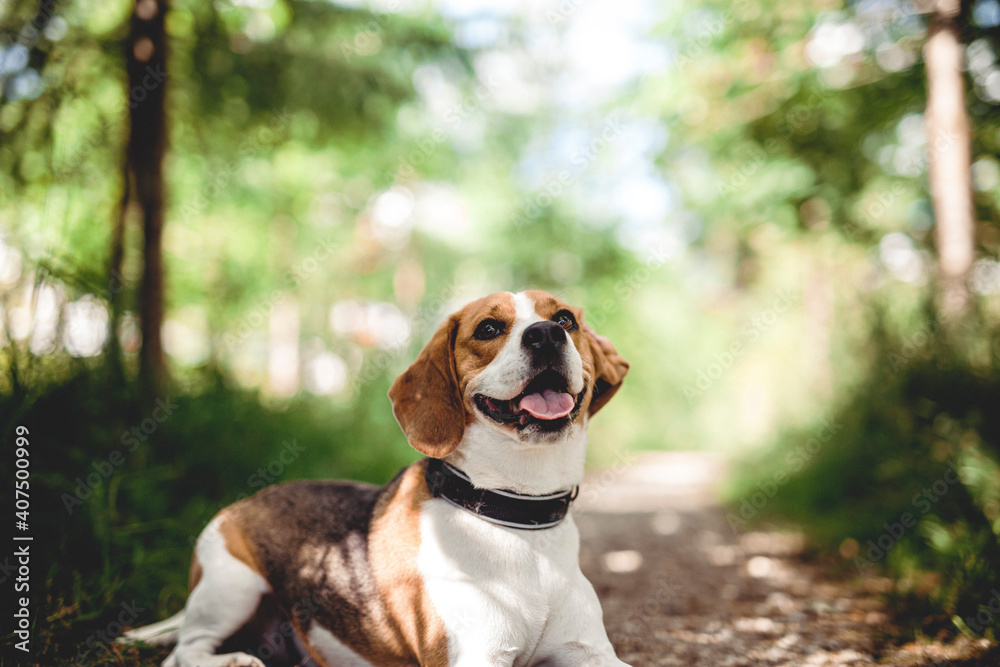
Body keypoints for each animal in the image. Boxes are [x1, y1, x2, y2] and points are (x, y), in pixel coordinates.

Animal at [121, 290, 628, 667]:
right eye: (488, 328)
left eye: (565, 319)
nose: (546, 334)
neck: (519, 517)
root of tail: (240, 503)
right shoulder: (473, 657)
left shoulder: (592, 654)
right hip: (232, 585)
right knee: (183, 652)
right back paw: (233, 659)